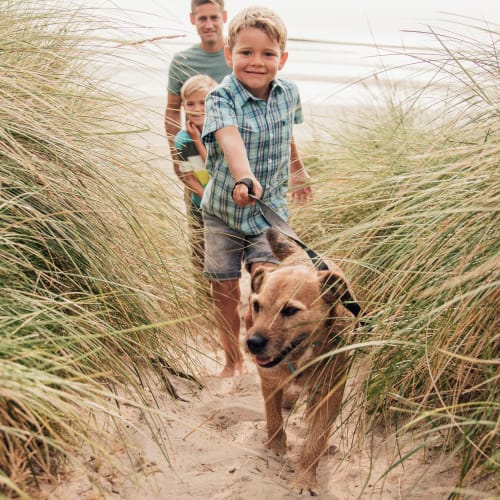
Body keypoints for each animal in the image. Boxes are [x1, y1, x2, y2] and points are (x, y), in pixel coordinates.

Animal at [245, 229, 360, 494]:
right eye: (256, 305)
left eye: (289, 311)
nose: (252, 343)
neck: (299, 357)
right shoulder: (269, 380)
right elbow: (273, 417)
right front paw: (276, 446)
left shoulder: (330, 393)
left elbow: (314, 441)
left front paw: (305, 479)